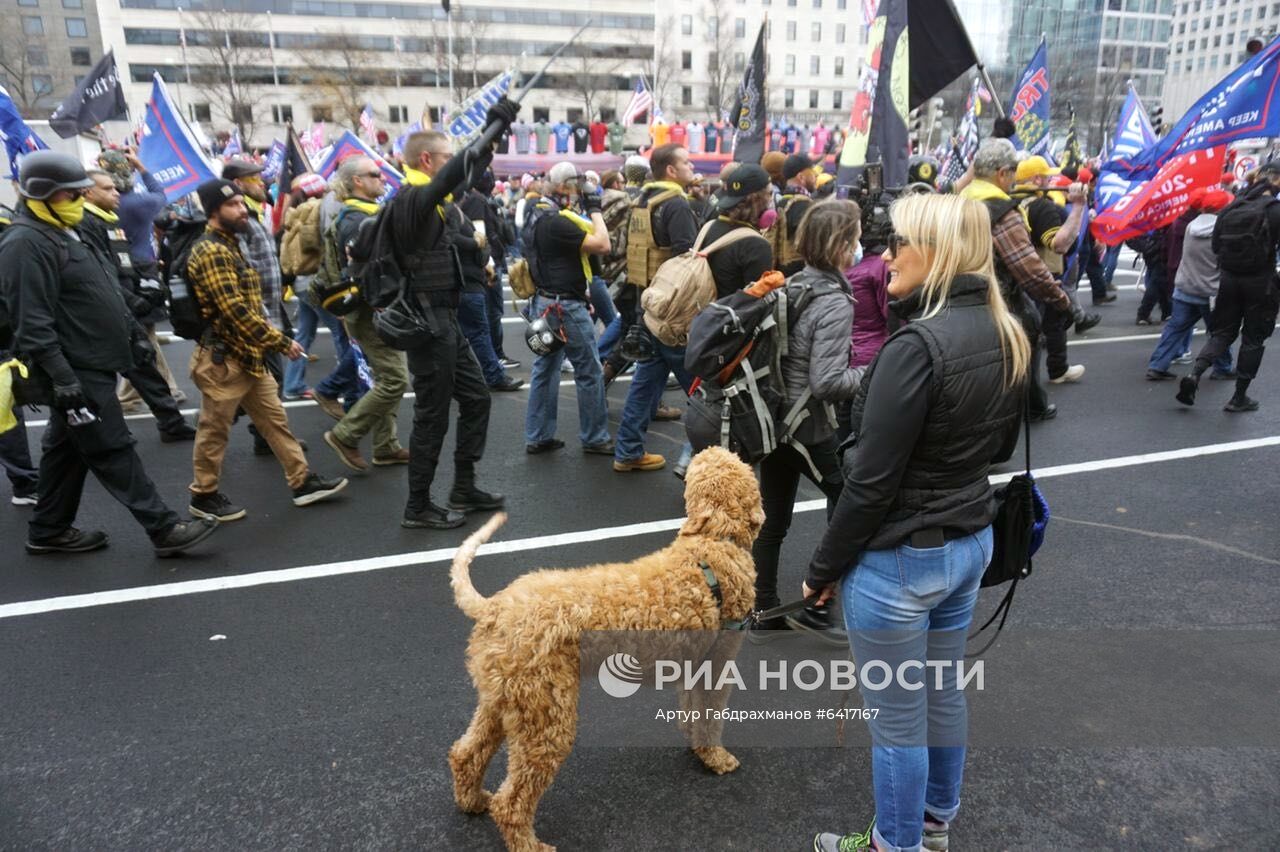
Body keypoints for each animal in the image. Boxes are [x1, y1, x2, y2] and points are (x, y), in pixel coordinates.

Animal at [445, 447, 757, 844]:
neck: (713, 542)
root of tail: (493, 608)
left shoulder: (694, 665)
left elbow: (693, 711)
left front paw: (696, 746)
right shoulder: (718, 663)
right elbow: (710, 717)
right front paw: (716, 757)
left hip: (504, 699)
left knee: (466, 753)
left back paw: (472, 801)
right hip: (545, 714)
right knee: (511, 800)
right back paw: (531, 844)